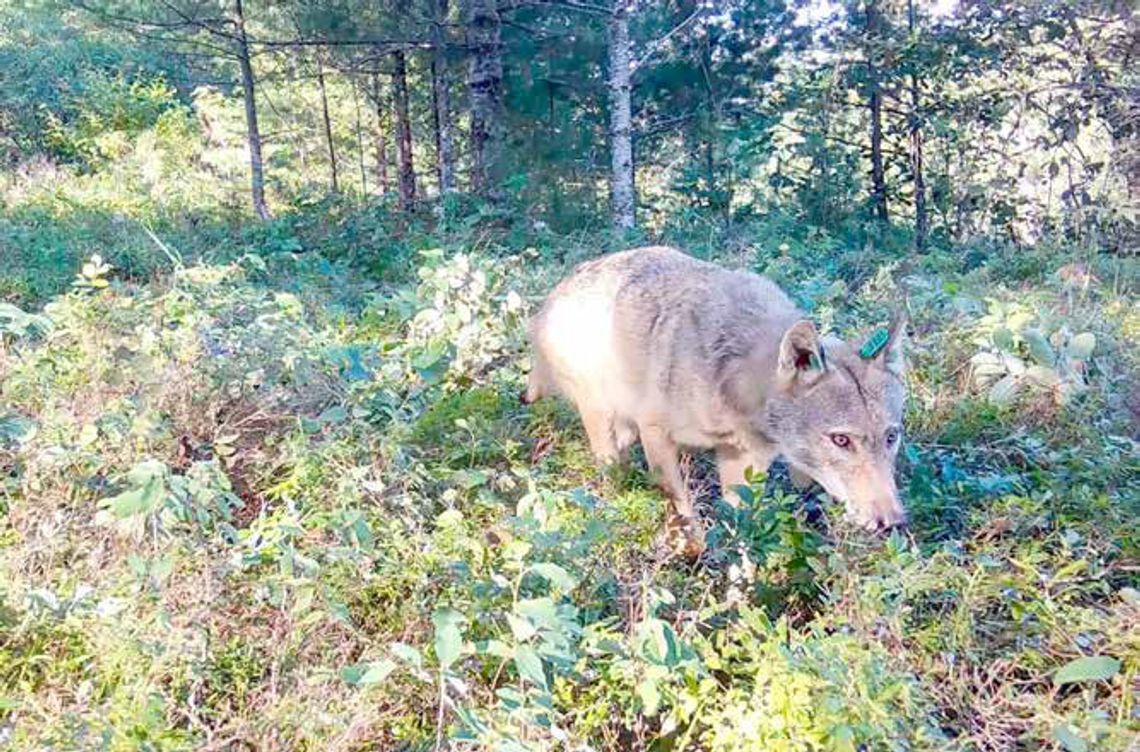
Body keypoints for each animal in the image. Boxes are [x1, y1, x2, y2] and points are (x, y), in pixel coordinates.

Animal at [524, 246, 907, 555]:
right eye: (841, 440)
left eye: (891, 437)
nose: (892, 522)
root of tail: (558, 290)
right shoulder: (657, 436)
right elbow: (684, 516)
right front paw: (691, 556)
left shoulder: (743, 461)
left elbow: (741, 532)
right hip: (605, 420)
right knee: (609, 473)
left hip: (625, 429)